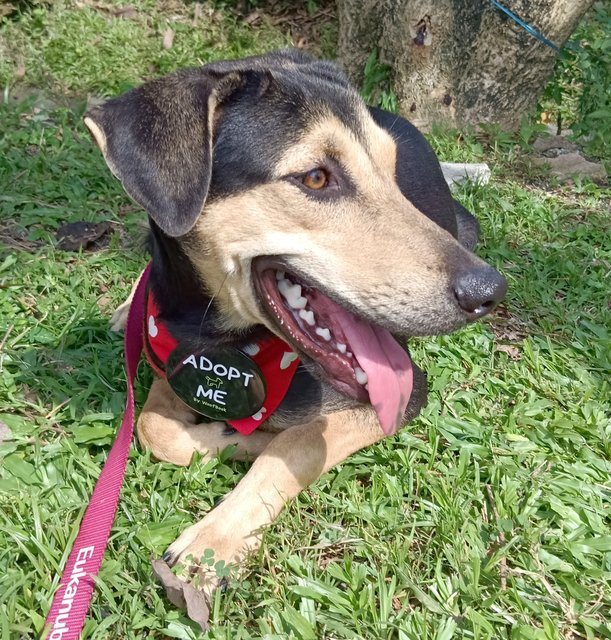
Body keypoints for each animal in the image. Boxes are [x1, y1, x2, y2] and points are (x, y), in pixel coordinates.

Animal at [86, 50, 506, 604]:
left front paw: (213, 540)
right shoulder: (170, 358)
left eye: (392, 174)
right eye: (314, 179)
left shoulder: (405, 394)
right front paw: (223, 438)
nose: (488, 292)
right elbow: (153, 427)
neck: (229, 345)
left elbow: (294, 442)